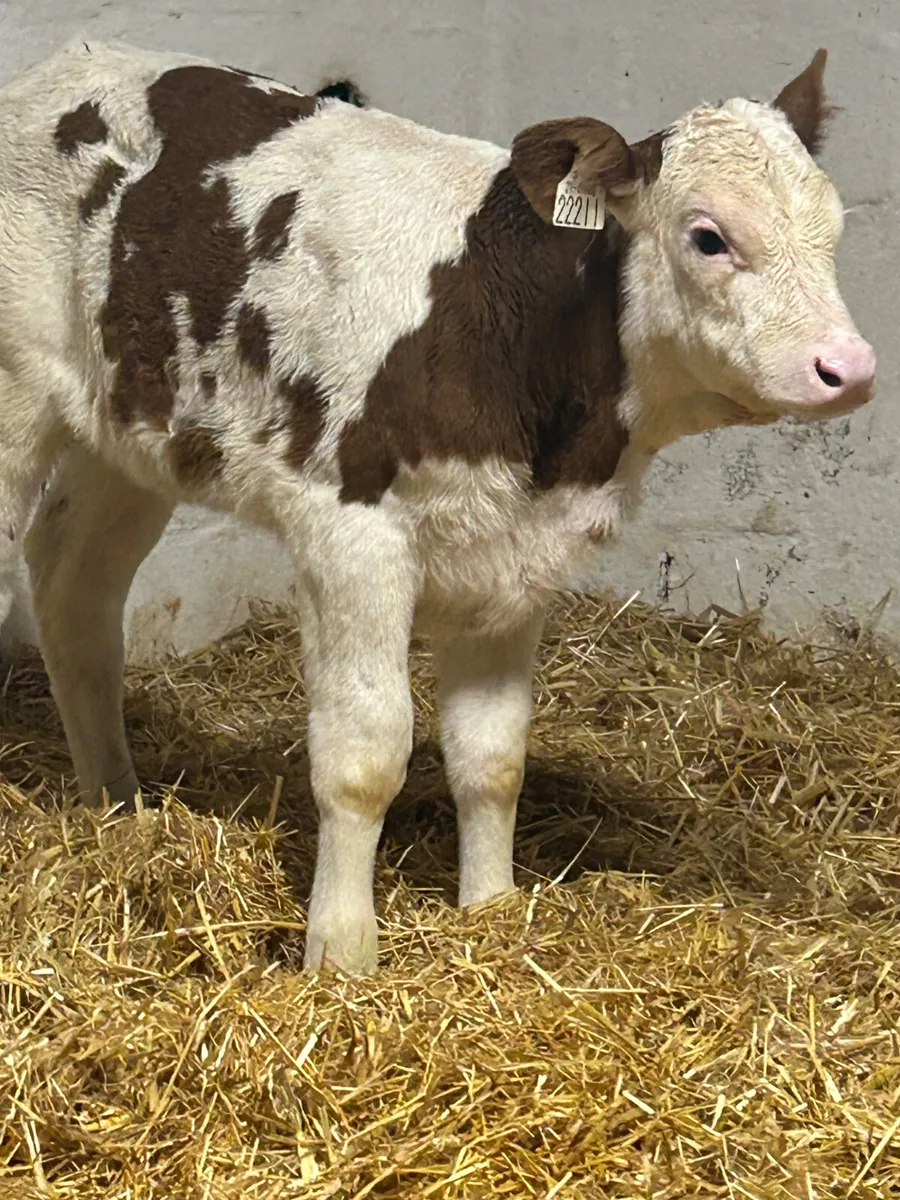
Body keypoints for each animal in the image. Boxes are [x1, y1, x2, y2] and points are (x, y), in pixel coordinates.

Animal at [0, 39, 874, 974]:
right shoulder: (351, 534)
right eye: (709, 236)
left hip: (131, 433)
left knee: (74, 584)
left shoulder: (516, 554)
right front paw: (342, 953)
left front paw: (490, 912)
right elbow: (365, 754)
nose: (848, 368)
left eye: (834, 230)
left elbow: (491, 756)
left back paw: (117, 806)